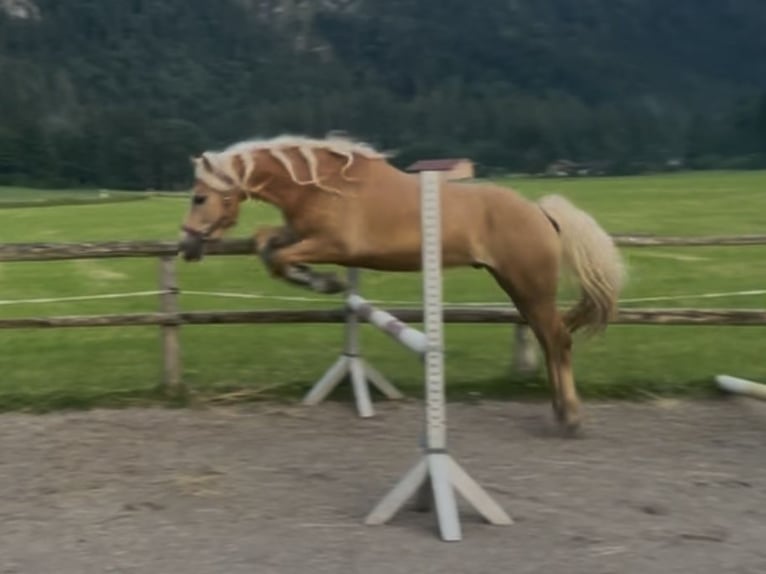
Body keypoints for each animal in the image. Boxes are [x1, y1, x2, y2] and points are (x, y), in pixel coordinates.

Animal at [178, 134, 625, 434]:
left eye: (199, 198)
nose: (186, 246)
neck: (321, 185)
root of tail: (540, 211)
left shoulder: (332, 244)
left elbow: (279, 257)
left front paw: (323, 282)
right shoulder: (300, 234)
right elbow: (265, 245)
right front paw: (315, 279)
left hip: (530, 286)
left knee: (558, 339)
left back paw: (570, 416)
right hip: (516, 287)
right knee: (549, 338)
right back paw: (557, 409)